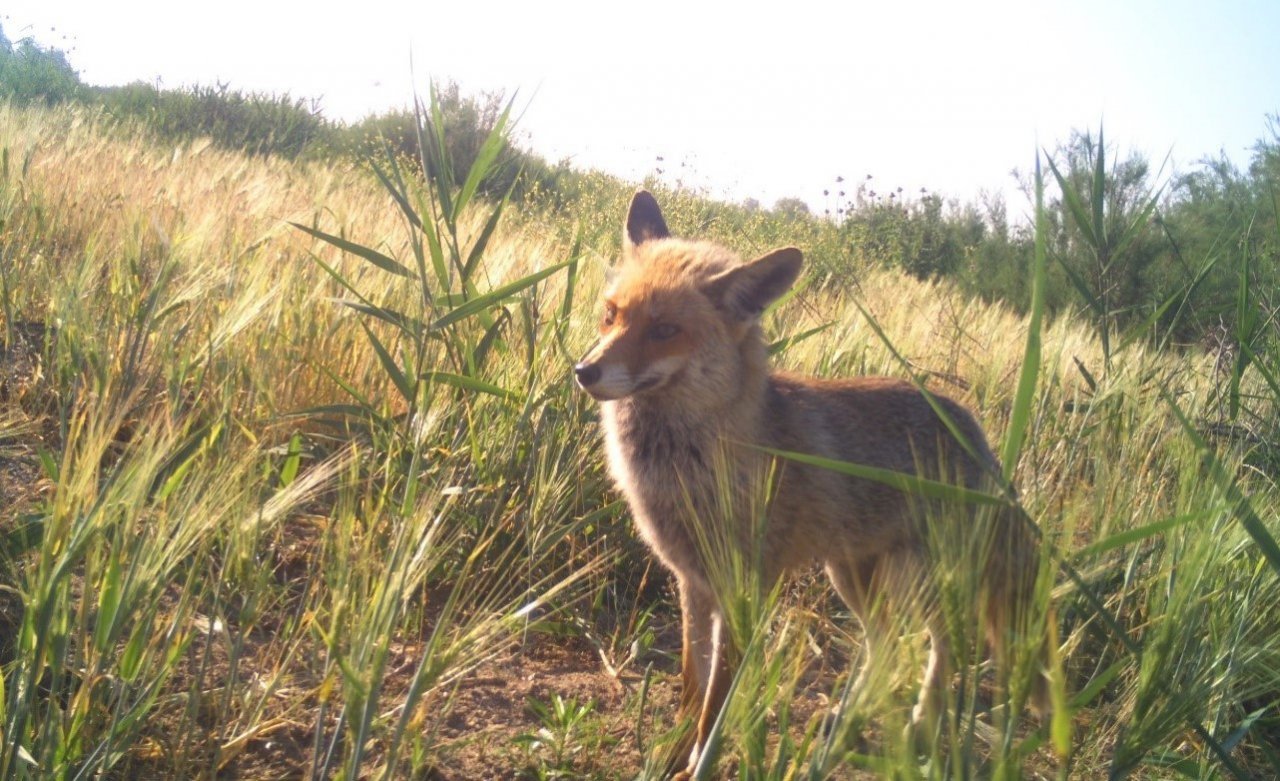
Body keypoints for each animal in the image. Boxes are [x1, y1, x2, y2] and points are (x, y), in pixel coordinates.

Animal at [576, 189, 1044, 778]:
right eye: (610, 315)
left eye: (664, 330)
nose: (584, 372)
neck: (693, 467)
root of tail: (972, 429)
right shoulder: (693, 584)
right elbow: (690, 686)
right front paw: (669, 759)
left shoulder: (745, 591)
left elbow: (715, 704)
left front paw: (699, 763)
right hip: (852, 576)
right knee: (888, 643)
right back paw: (850, 721)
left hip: (922, 580)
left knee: (946, 645)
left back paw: (917, 723)